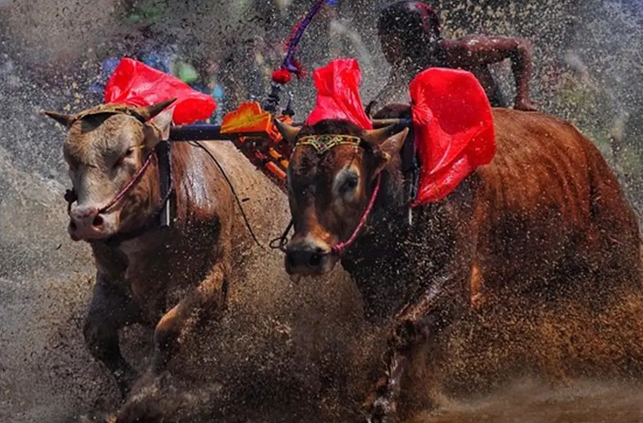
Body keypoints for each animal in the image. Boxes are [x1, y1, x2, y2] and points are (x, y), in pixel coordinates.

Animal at [45, 101, 236, 400]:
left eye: (127, 152)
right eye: (71, 161)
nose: (85, 219)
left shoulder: (212, 277)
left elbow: (168, 330)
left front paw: (143, 394)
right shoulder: (113, 283)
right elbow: (97, 336)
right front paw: (129, 386)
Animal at [274, 107, 640, 423]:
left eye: (350, 180)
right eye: (292, 176)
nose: (305, 253)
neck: (408, 186)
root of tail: (590, 153)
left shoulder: (455, 281)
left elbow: (404, 326)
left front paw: (382, 401)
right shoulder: (376, 287)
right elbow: (384, 329)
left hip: (618, 258)